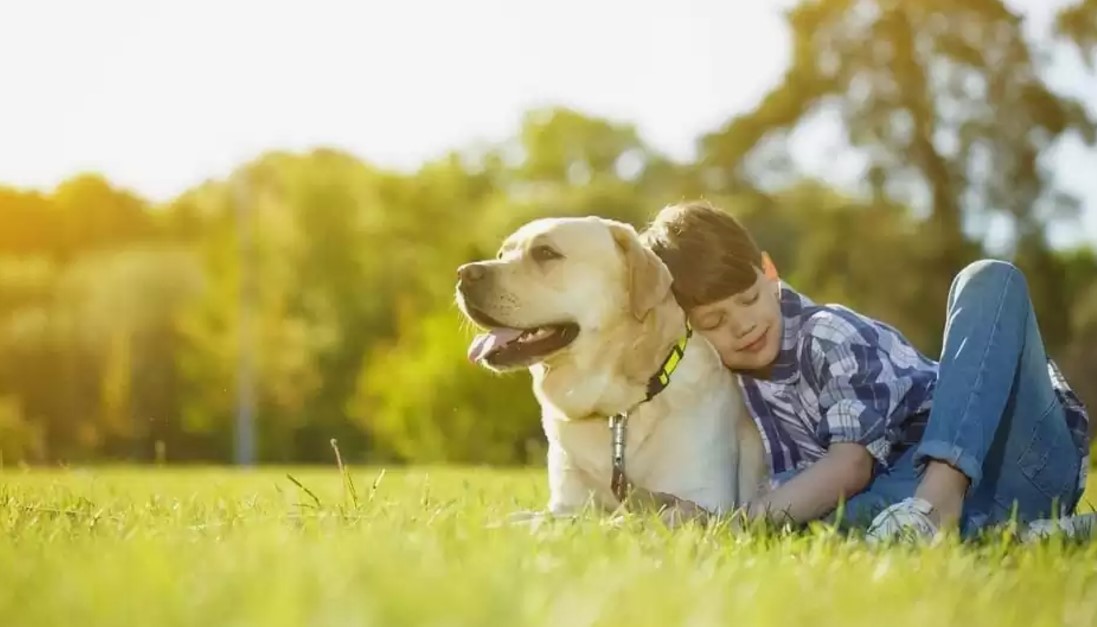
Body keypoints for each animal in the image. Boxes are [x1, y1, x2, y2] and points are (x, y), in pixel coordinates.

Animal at [451, 218, 763, 521]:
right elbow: (541, 517)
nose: (464, 273)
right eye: (501, 255)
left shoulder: (705, 504)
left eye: (545, 253)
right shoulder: (566, 502)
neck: (617, 409)